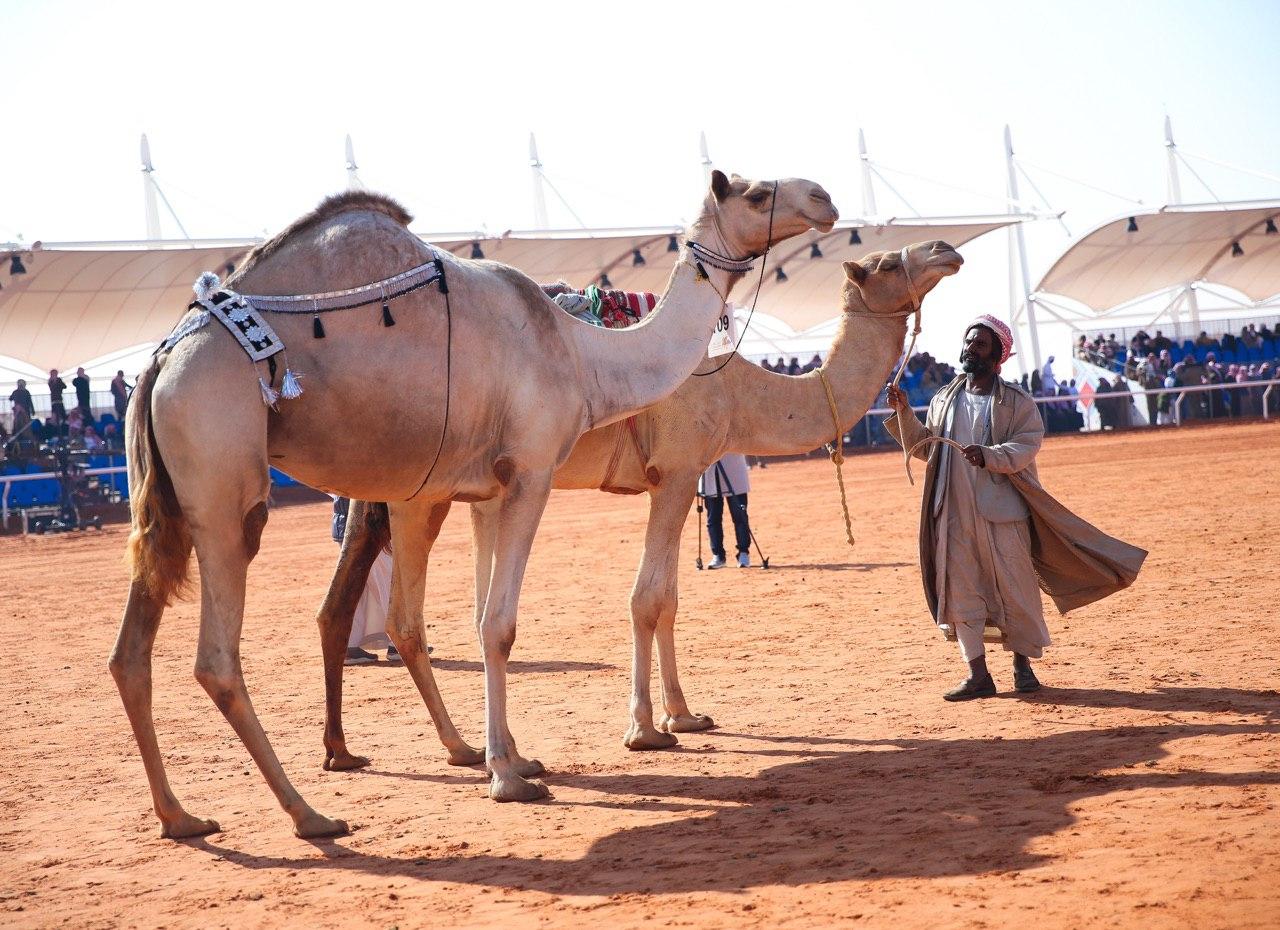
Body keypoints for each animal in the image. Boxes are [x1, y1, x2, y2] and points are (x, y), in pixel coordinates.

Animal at [112, 171, 839, 839]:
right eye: (755, 191)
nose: (825, 199)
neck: (581, 352)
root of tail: (159, 366)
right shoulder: (533, 471)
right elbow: (500, 626)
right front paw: (510, 778)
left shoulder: (488, 490)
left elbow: (478, 616)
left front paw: (514, 755)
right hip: (224, 475)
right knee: (218, 657)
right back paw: (309, 813)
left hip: (176, 501)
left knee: (131, 654)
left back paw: (183, 816)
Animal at [317, 240, 962, 772]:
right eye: (885, 263)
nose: (946, 249)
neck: (738, 390)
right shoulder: (676, 472)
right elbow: (647, 599)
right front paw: (646, 730)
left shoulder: (675, 479)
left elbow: (670, 600)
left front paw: (685, 714)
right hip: (424, 492)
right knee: (405, 617)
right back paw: (459, 749)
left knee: (367, 611)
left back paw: (394, 749)